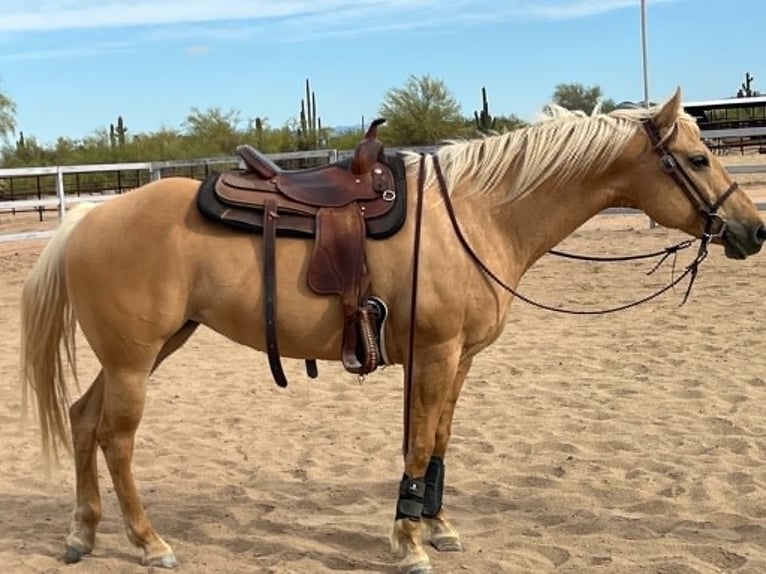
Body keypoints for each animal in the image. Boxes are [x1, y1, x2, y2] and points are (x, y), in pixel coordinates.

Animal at [19, 88, 765, 573]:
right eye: (699, 161)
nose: (753, 230)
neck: (478, 214)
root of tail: (89, 217)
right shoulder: (433, 355)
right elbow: (418, 445)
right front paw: (408, 544)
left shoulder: (459, 360)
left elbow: (436, 444)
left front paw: (435, 526)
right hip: (135, 361)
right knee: (115, 440)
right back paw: (149, 543)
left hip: (145, 352)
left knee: (82, 420)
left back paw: (83, 535)